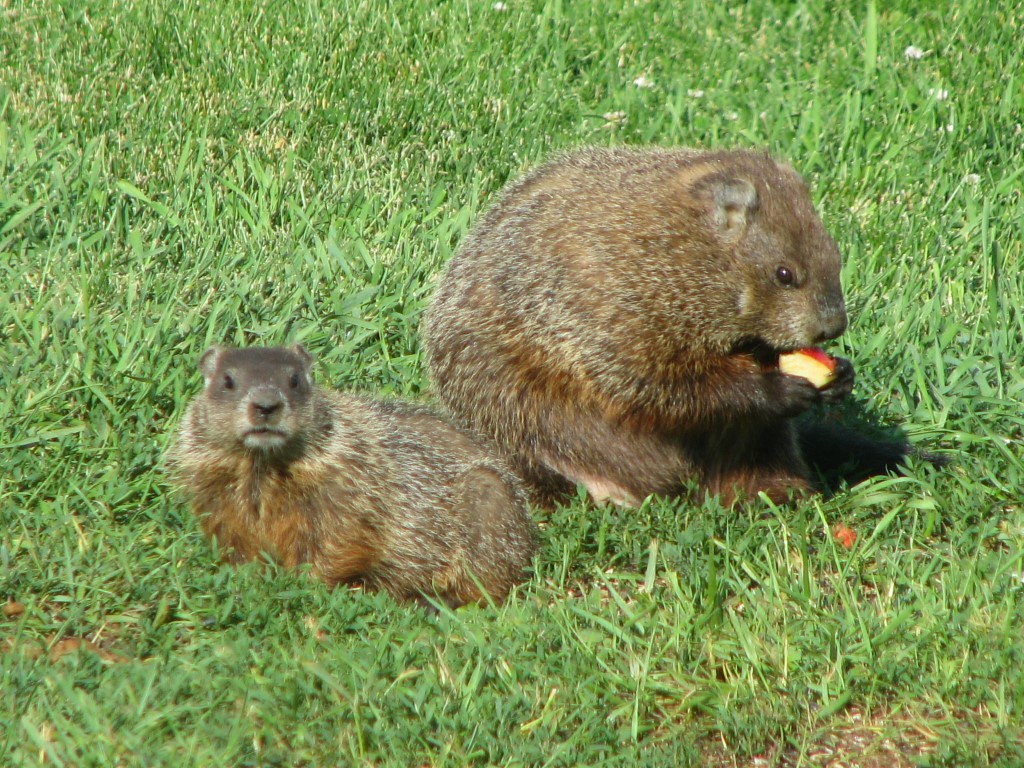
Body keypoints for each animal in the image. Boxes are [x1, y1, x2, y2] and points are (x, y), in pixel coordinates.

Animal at [168, 345, 537, 607]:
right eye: (227, 380)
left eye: (295, 380)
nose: (266, 405)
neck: (261, 467)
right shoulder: (214, 488)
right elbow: (232, 534)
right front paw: (247, 578)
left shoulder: (348, 483)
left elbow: (340, 538)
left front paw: (308, 584)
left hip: (491, 503)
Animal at [423, 146, 929, 507]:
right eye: (785, 274)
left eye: (837, 258)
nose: (832, 327)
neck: (685, 247)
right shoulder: (618, 293)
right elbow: (650, 376)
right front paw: (773, 388)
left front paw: (841, 374)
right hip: (516, 417)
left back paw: (773, 492)